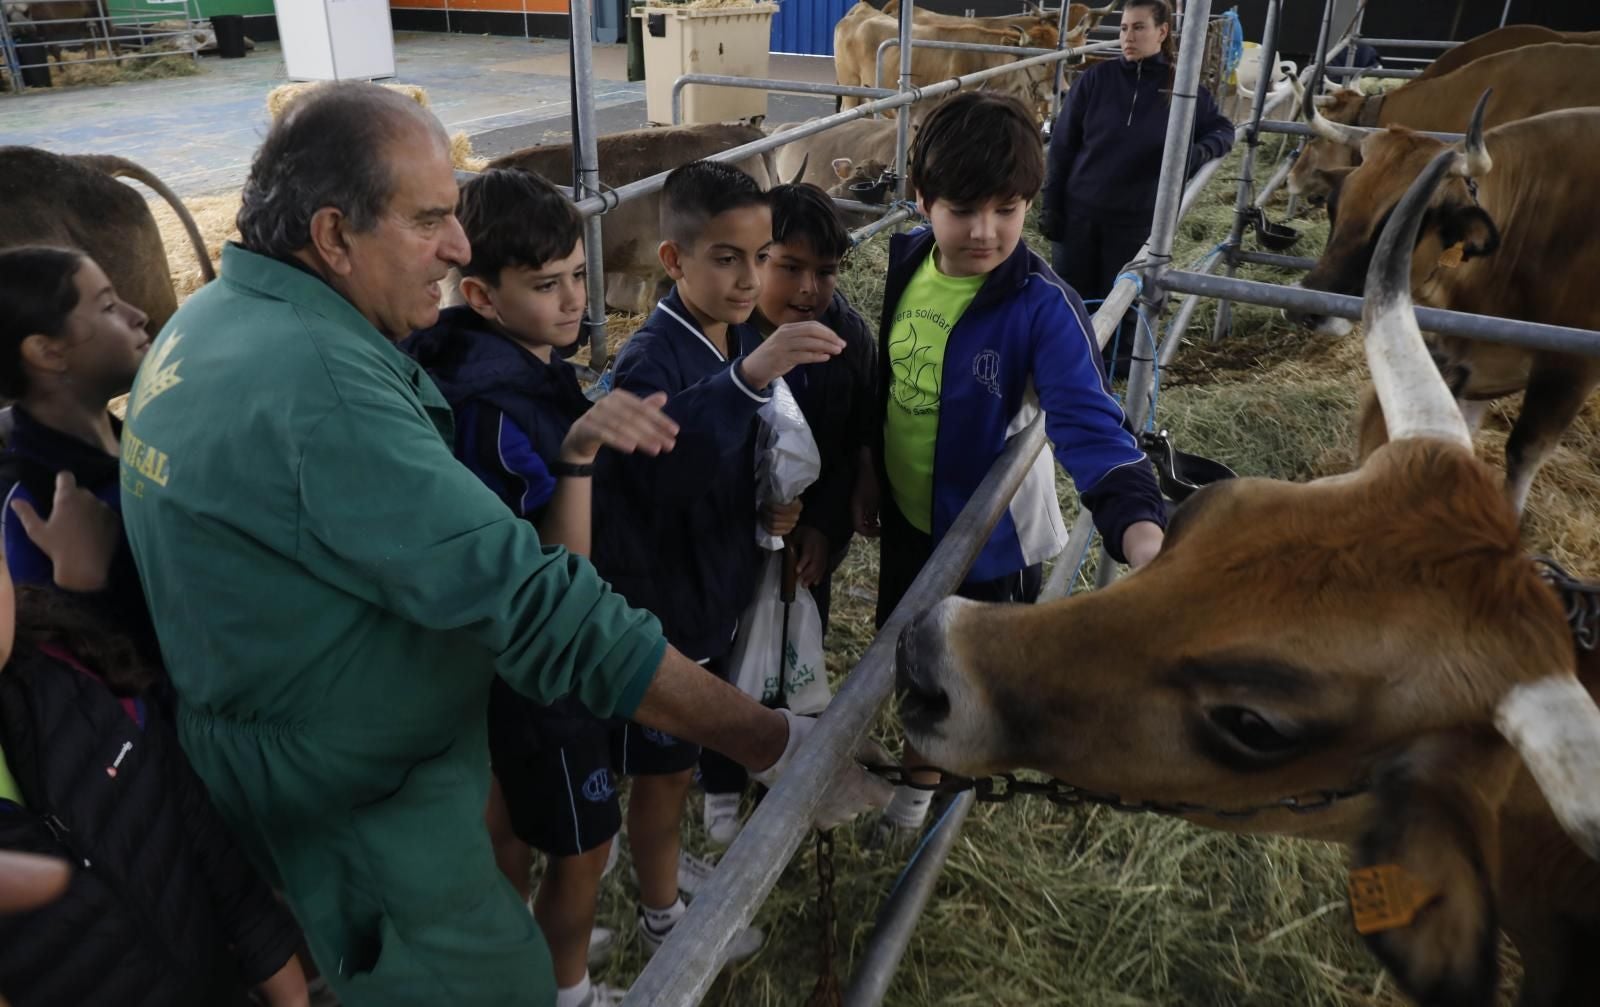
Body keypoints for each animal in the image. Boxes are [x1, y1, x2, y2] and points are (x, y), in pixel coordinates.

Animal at [1292, 100, 1600, 518]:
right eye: (1334, 205)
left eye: (1401, 221)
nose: (1307, 307)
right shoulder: (1459, 364)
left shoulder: (1568, 373)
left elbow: (1522, 455)